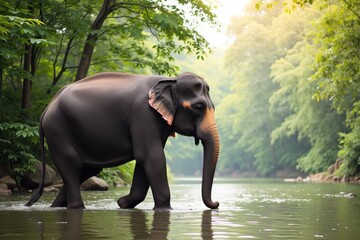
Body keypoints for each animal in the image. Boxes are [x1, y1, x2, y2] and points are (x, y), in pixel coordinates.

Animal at [24, 71, 219, 210]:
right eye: (198, 107)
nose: (216, 203)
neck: (170, 80)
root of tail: (46, 108)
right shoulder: (143, 115)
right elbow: (151, 157)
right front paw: (165, 209)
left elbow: (144, 161)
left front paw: (122, 203)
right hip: (58, 130)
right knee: (71, 164)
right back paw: (77, 208)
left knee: (87, 169)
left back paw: (55, 207)